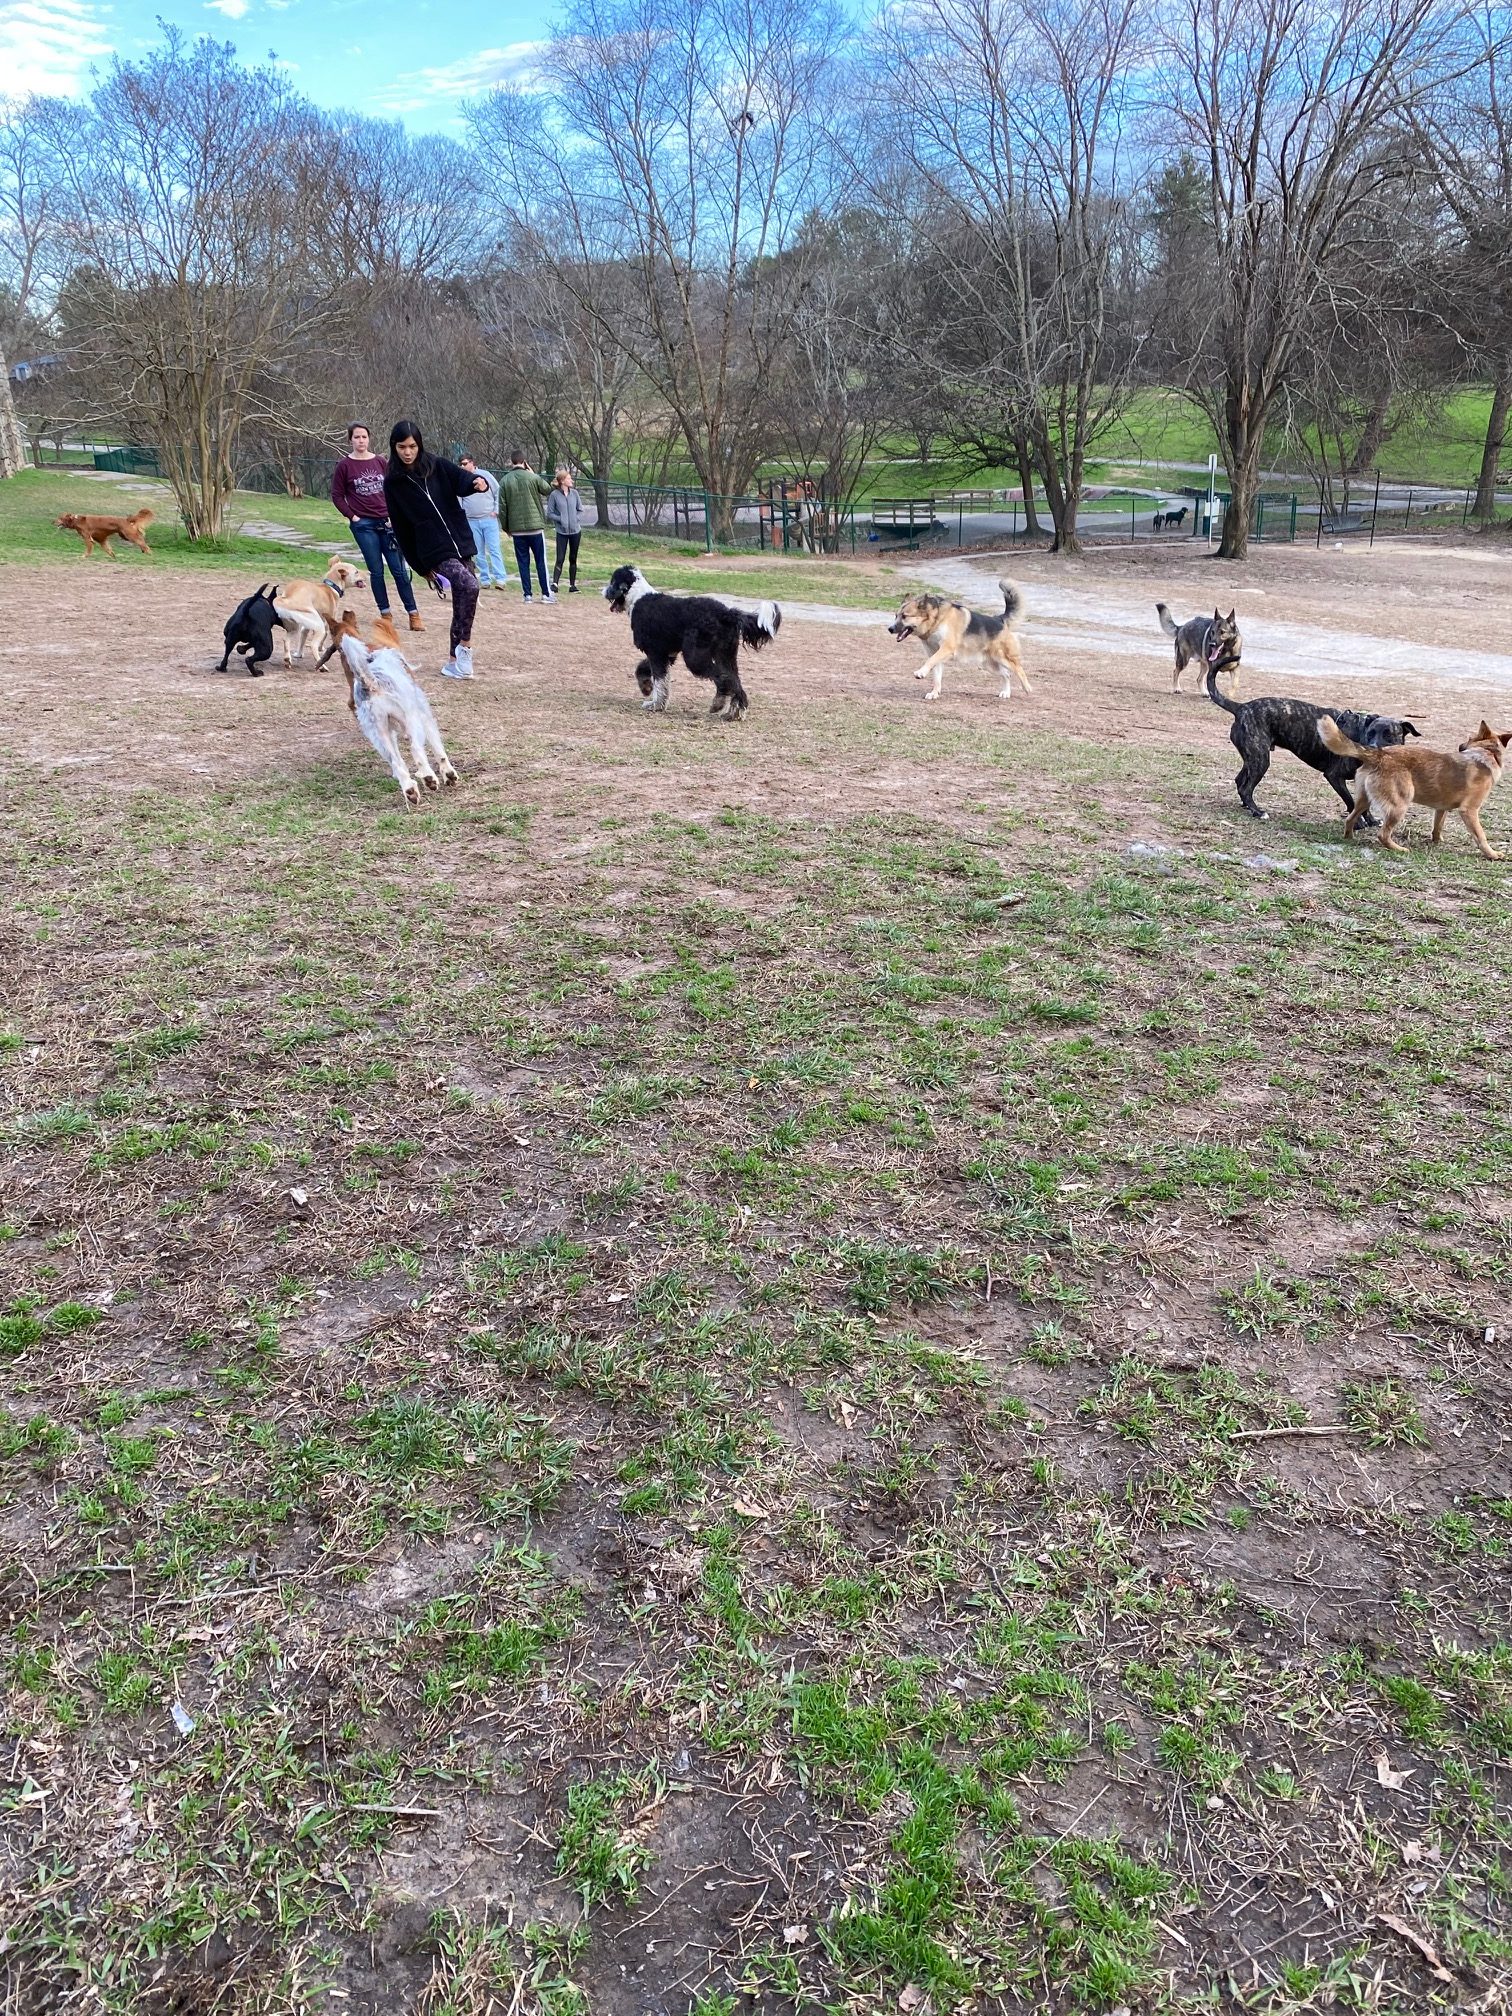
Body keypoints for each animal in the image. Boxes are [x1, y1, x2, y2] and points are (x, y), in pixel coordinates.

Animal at [600, 564, 782, 721]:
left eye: (612, 581)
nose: (602, 591)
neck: (637, 597)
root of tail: (727, 613)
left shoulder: (656, 652)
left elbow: (659, 680)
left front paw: (656, 705)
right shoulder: (668, 653)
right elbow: (643, 669)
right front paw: (646, 687)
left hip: (695, 658)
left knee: (723, 678)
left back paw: (719, 703)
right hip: (726, 655)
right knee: (734, 680)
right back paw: (734, 712)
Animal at [883, 580, 1040, 705]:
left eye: (904, 616)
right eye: (896, 616)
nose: (890, 629)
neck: (936, 620)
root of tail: (999, 619)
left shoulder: (946, 649)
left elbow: (929, 662)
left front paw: (921, 673)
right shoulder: (935, 653)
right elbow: (936, 676)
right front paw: (934, 693)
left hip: (1002, 657)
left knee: (1018, 669)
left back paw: (1027, 688)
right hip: (988, 664)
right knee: (1007, 674)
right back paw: (1006, 693)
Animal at [1322, 717, 1512, 858]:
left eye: (1469, 738)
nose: (1460, 746)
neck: (1488, 753)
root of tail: (1380, 754)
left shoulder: (1441, 809)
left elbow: (1437, 827)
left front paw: (1437, 841)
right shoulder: (1469, 811)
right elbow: (1481, 836)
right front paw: (1492, 854)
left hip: (1364, 801)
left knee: (1350, 819)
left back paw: (1349, 838)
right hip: (1399, 805)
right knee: (1382, 834)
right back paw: (1399, 849)